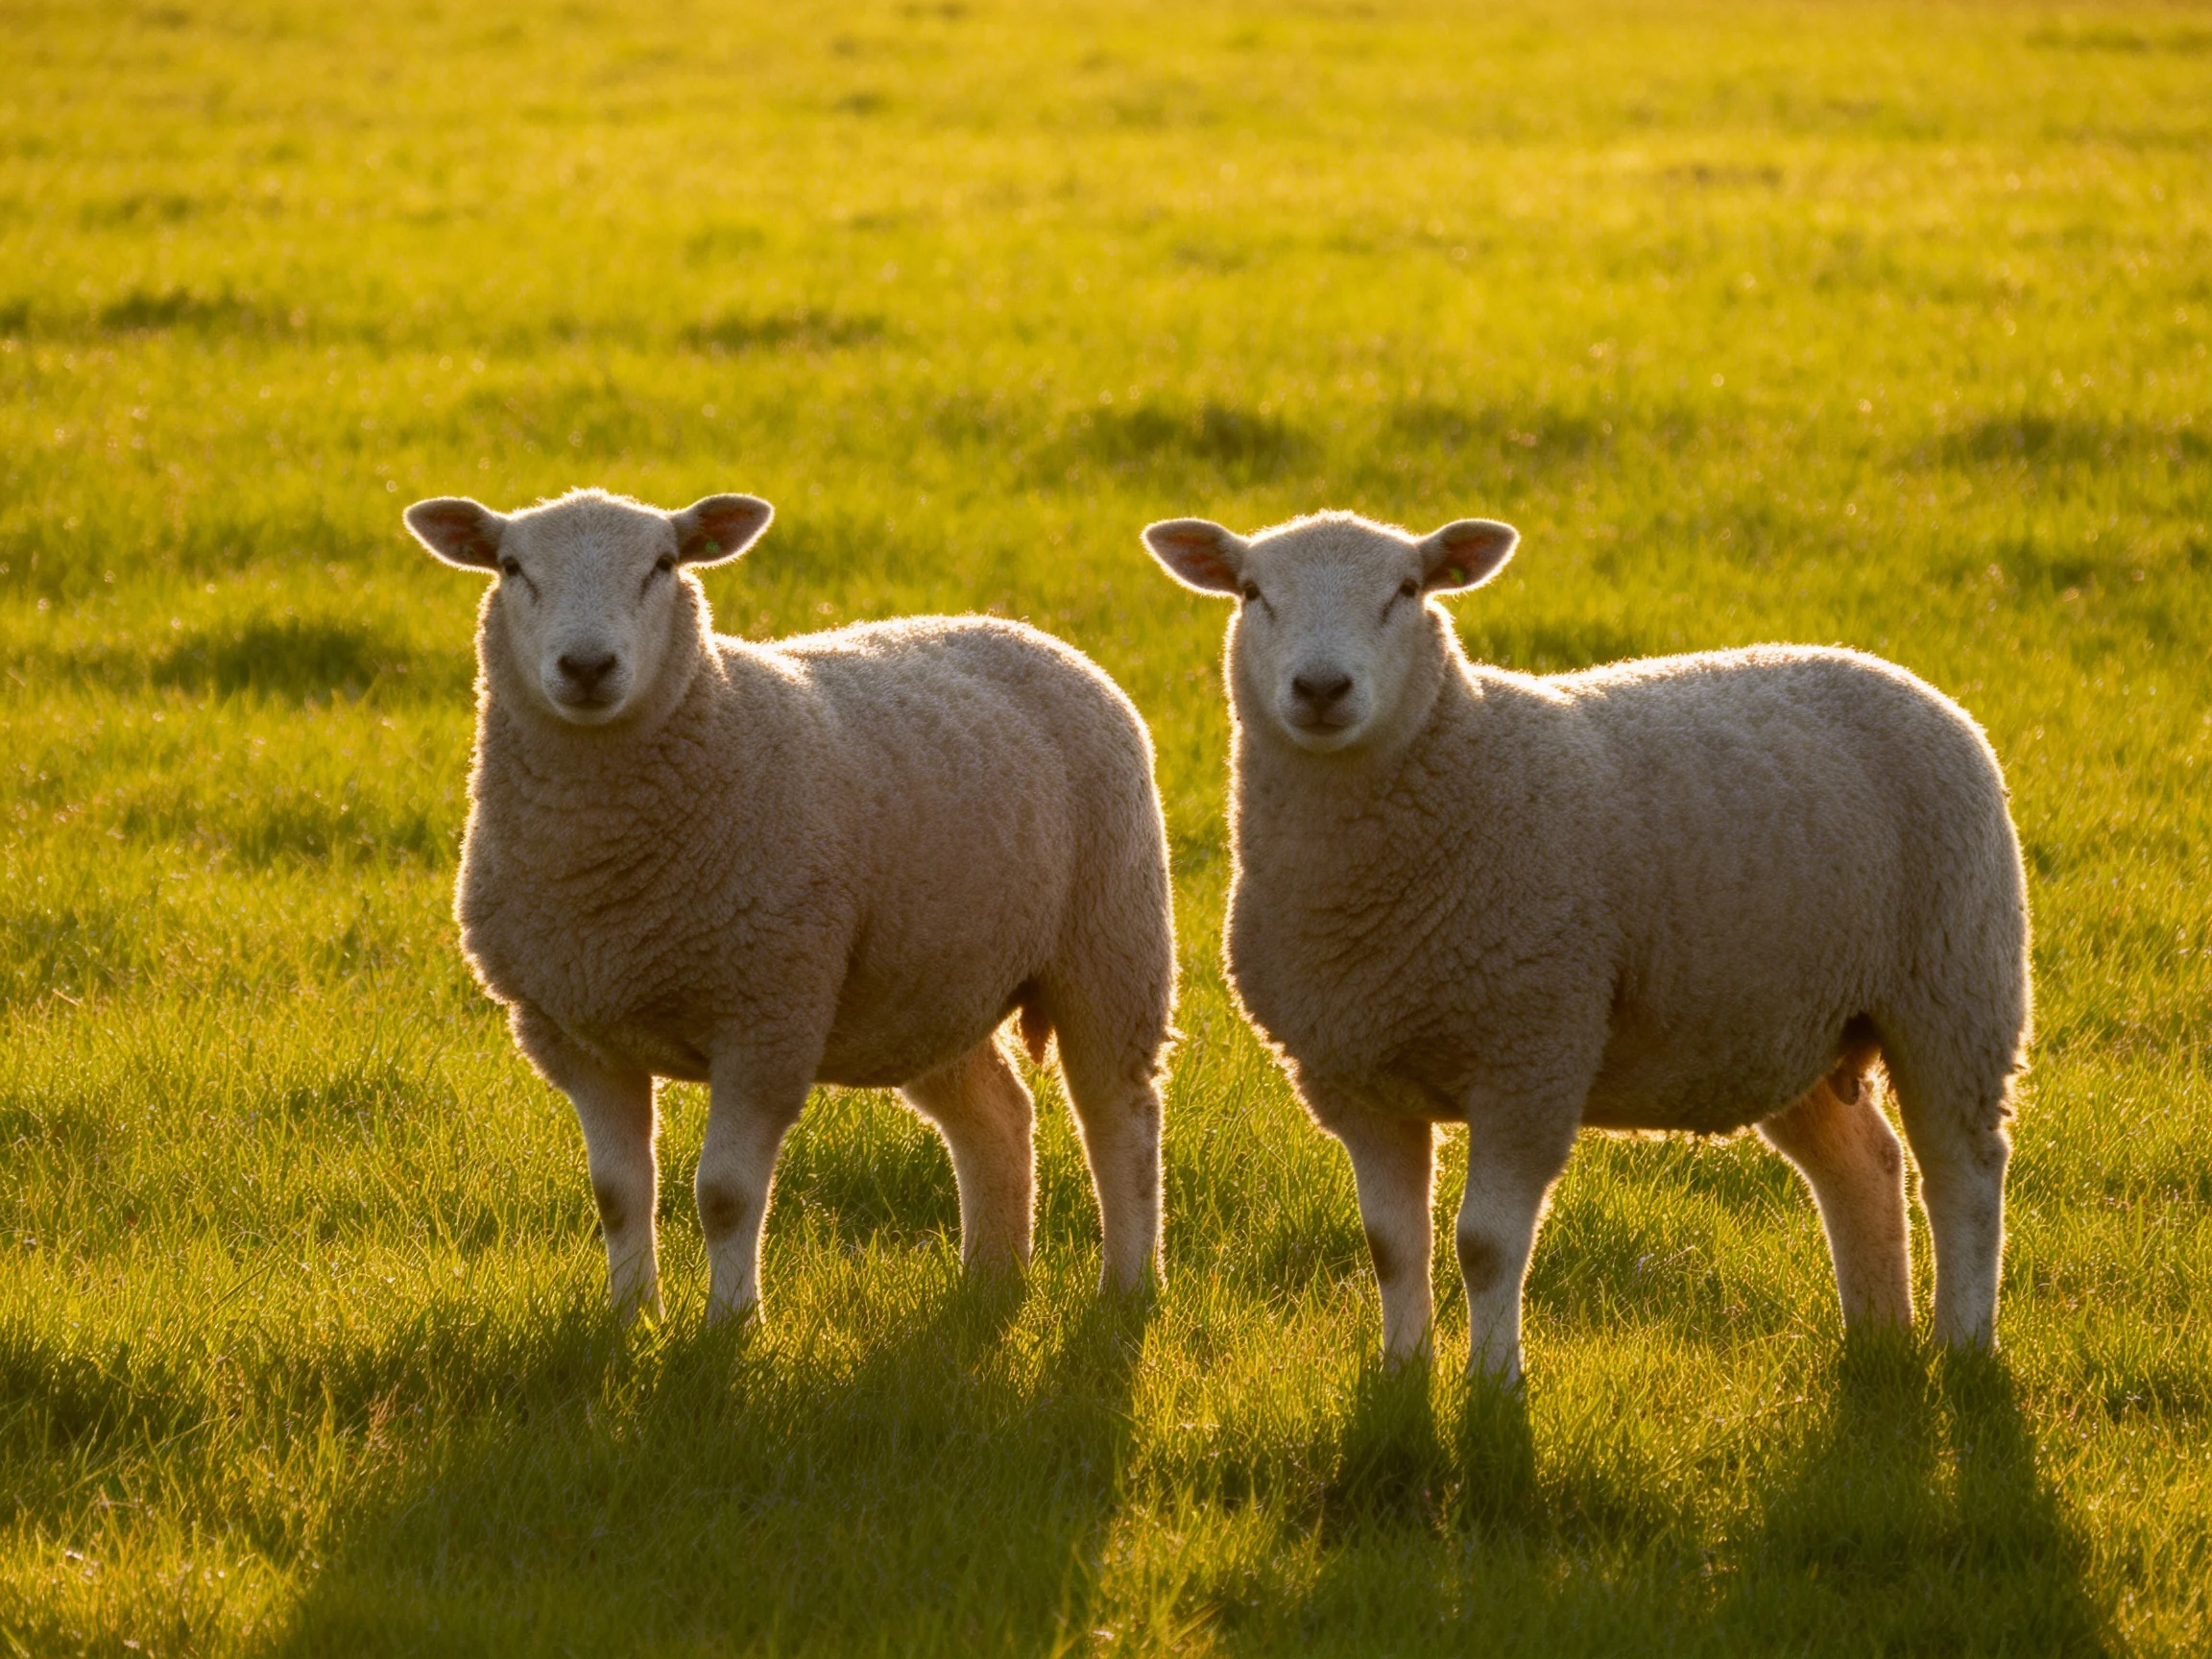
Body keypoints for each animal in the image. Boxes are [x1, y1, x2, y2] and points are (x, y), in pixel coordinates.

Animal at [403, 487, 1175, 1325]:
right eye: (513, 567)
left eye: (663, 565)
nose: (586, 666)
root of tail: (1025, 632)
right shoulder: (577, 1032)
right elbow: (616, 1193)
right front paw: (631, 1317)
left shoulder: (766, 1016)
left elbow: (726, 1195)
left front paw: (730, 1324)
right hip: (928, 983)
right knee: (998, 1116)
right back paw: (991, 1283)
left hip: (1112, 940)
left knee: (1121, 1118)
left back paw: (1129, 1288)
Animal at [1144, 509, 2030, 1382]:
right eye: (1253, 592)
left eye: (1406, 590)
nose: (1322, 689)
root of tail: (1896, 673)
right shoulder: (1355, 1079)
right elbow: (1391, 1247)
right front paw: (1402, 1376)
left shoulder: (1530, 1055)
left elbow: (1485, 1246)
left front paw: (1494, 1383)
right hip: (1789, 1023)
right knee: (1864, 1166)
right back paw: (1878, 1341)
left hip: (1955, 984)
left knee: (1963, 1170)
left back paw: (1962, 1343)